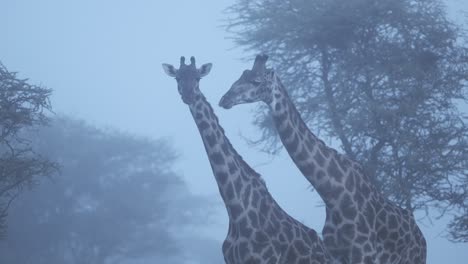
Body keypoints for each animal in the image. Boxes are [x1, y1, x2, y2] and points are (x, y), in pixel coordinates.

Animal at [163, 56, 334, 264]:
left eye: (198, 78)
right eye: (177, 78)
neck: (235, 209)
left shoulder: (263, 260)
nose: (188, 95)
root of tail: (326, 252)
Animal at [219, 54, 428, 262]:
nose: (224, 99)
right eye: (242, 75)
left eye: (256, 81)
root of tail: (422, 239)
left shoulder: (364, 253)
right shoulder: (334, 254)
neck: (333, 194)